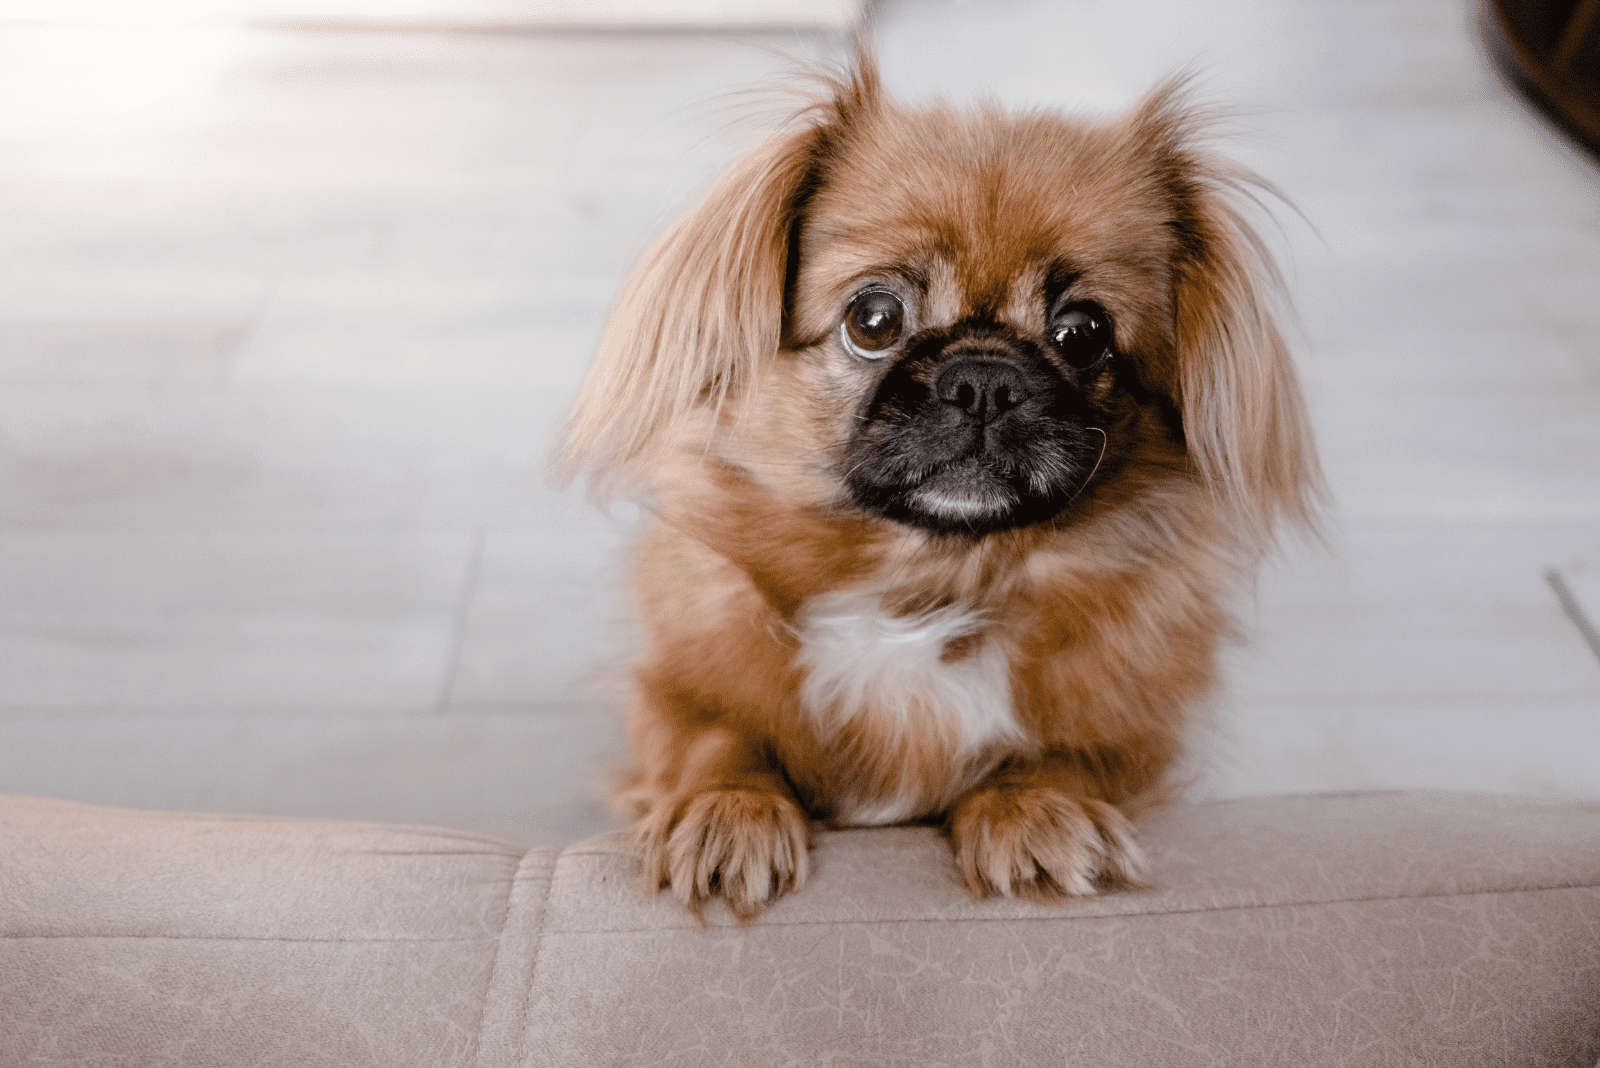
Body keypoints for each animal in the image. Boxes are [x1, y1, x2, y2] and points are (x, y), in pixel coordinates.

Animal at [556, 47, 1318, 920]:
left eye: (1083, 332)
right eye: (874, 319)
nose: (984, 380)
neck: (927, 579)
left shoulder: (1134, 734)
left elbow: (1065, 754)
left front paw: (1037, 810)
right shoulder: (676, 688)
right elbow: (715, 736)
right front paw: (726, 811)